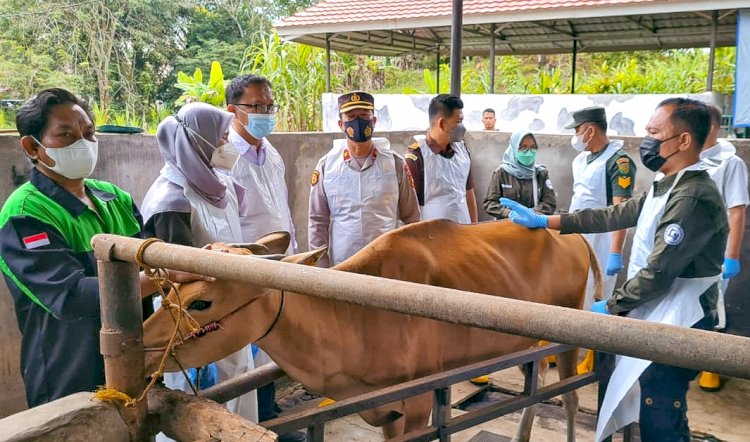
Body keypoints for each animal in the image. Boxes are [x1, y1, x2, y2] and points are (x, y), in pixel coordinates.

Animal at [144, 219, 604, 440]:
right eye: (167, 292)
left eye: (201, 303)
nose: (143, 348)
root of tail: (572, 236)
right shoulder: (386, 412)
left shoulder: (418, 404)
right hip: (527, 341)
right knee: (535, 387)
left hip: (566, 336)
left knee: (569, 398)